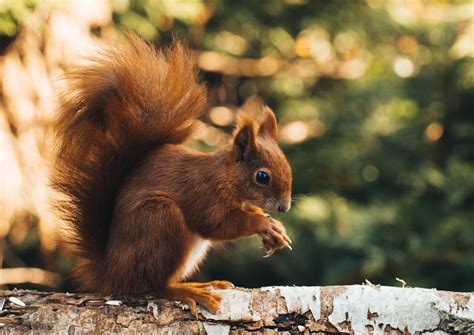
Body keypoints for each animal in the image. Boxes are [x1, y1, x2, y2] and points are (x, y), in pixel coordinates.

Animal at [53, 34, 294, 318]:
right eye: (262, 177)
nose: (284, 207)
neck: (226, 179)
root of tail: (111, 273)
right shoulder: (203, 193)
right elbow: (217, 225)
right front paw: (263, 224)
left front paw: (274, 229)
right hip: (159, 220)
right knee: (155, 284)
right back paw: (187, 290)